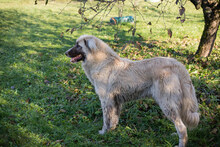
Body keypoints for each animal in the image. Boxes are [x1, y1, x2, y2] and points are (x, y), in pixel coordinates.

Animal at [65, 34, 199, 147]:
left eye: (78, 45)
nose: (65, 53)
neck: (101, 62)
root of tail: (177, 64)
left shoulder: (106, 100)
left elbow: (106, 120)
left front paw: (103, 133)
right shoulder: (116, 101)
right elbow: (114, 119)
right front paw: (112, 131)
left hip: (167, 103)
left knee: (182, 127)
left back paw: (180, 143)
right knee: (182, 123)